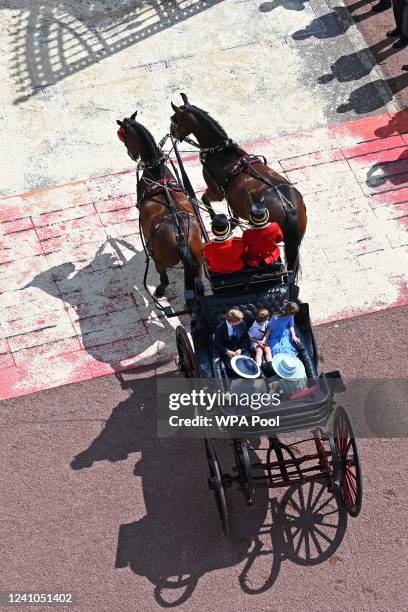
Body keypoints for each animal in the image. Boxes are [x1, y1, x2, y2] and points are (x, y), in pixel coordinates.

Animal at [116, 113, 202, 302]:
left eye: (124, 137)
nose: (132, 154)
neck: (156, 171)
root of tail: (180, 237)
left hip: (160, 261)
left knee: (164, 278)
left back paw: (160, 291)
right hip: (198, 261)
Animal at [169, 94, 306, 274]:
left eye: (174, 119)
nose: (171, 132)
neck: (221, 151)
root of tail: (289, 209)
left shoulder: (216, 191)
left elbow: (205, 199)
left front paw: (216, 219)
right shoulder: (229, 196)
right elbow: (232, 208)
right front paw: (231, 222)